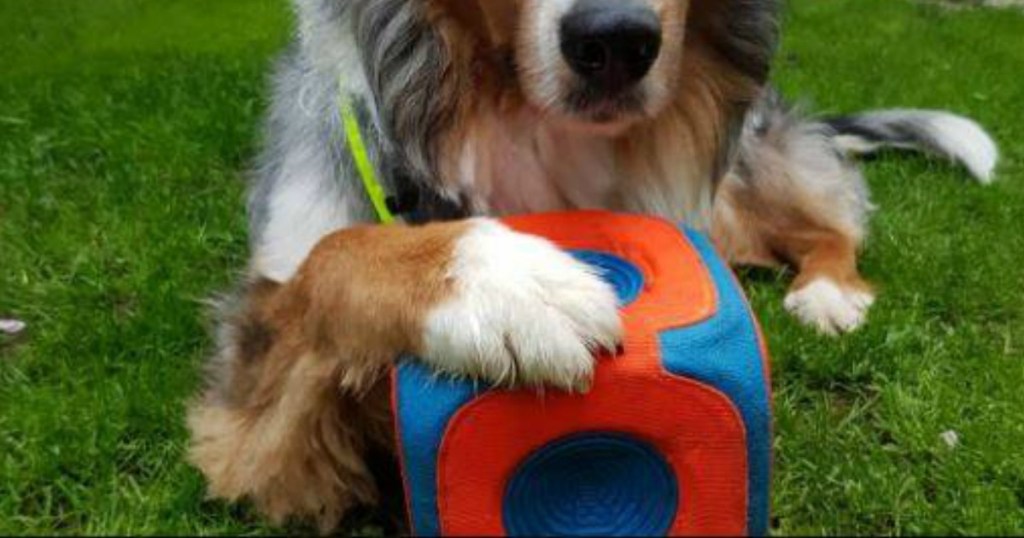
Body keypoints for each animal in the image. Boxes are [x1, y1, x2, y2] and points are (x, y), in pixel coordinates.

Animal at [186, 0, 999, 528]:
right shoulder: (254, 368)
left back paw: (828, 293)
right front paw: (505, 283)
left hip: (732, 190)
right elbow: (334, 253)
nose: (616, 39)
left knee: (830, 225)